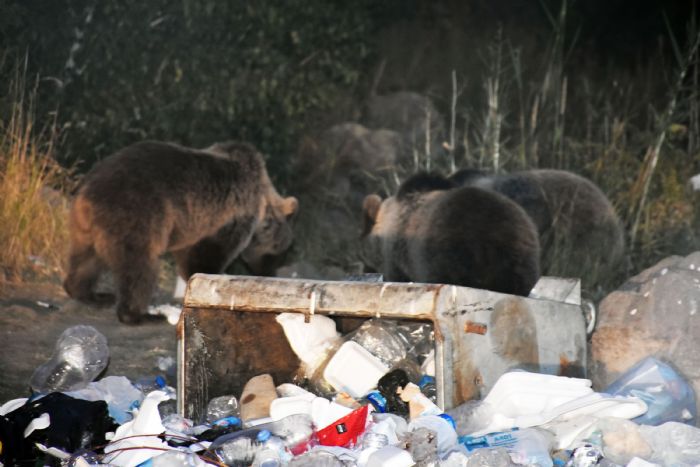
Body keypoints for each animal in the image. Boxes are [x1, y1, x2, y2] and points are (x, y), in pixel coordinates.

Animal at [62, 142, 298, 326]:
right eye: (279, 253)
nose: (270, 272)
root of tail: (88, 195)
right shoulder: (229, 216)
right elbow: (210, 253)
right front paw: (210, 278)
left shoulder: (192, 223)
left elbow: (189, 254)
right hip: (136, 215)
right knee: (139, 266)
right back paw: (139, 314)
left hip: (84, 227)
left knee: (85, 259)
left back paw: (90, 294)